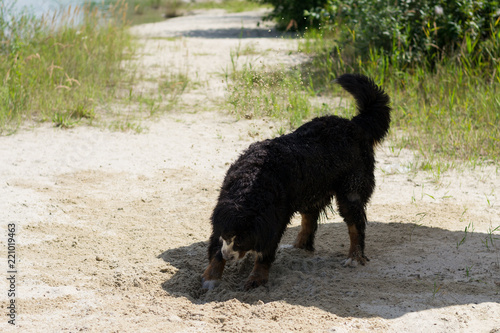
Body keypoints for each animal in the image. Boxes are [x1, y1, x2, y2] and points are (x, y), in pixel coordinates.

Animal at [202, 74, 390, 290]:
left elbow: (265, 253)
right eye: (226, 236)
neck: (249, 184)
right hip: (311, 190)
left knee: (355, 226)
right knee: (309, 221)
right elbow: (216, 247)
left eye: (240, 241)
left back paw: (355, 257)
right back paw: (298, 247)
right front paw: (212, 276)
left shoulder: (274, 219)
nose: (228, 255)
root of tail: (354, 124)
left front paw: (256, 278)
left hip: (350, 193)